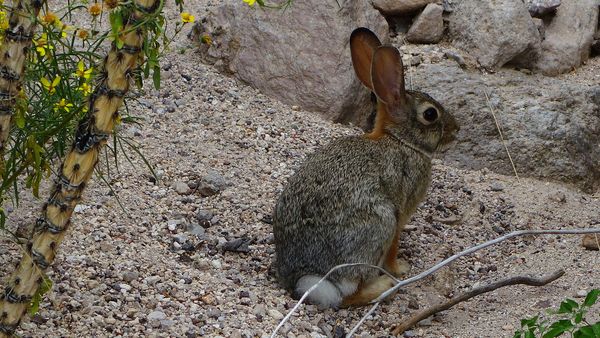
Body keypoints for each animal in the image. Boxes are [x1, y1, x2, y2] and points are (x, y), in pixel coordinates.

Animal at [272, 27, 460, 308]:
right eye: (430, 114)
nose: (456, 129)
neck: (399, 140)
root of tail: (307, 277)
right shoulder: (398, 214)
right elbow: (394, 248)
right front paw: (400, 267)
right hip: (378, 224)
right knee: (348, 295)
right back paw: (383, 286)